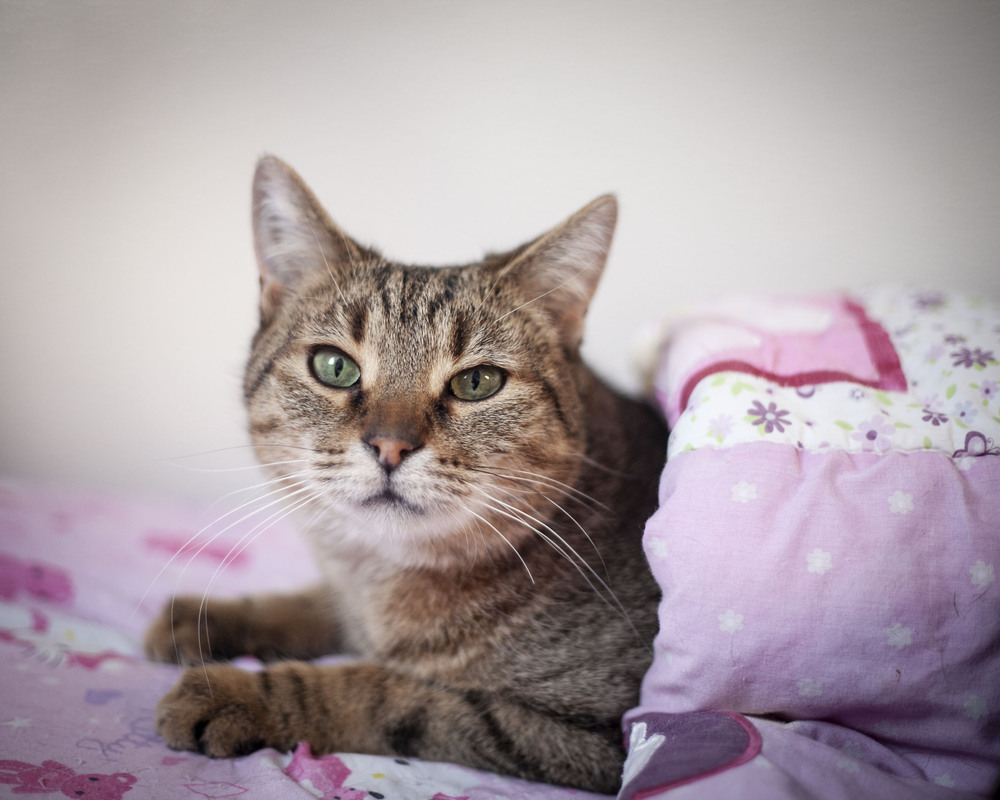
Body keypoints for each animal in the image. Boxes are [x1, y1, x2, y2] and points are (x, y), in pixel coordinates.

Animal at [146, 156, 664, 792]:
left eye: (477, 382)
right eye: (334, 366)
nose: (389, 446)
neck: (383, 579)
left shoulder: (587, 732)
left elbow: (380, 691)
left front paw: (236, 692)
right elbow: (314, 606)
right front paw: (207, 619)